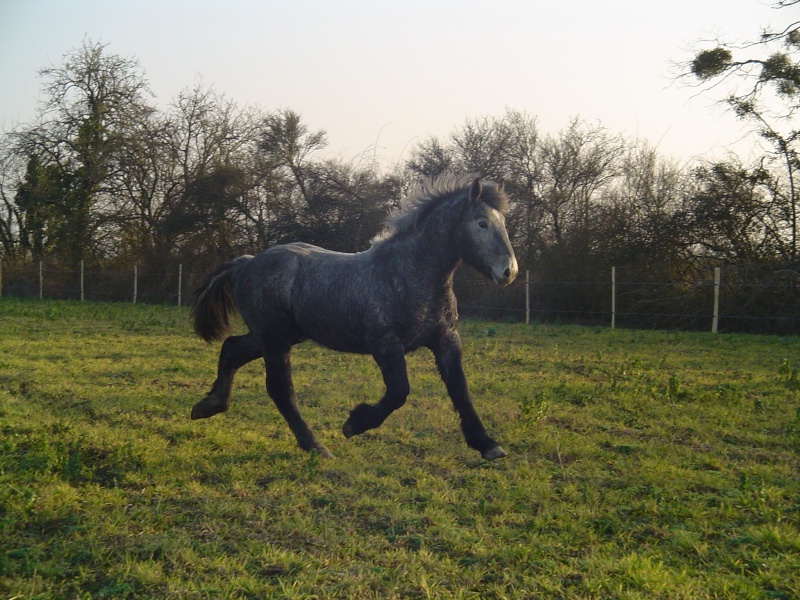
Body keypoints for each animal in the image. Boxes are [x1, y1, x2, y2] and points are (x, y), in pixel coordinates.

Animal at [188, 172, 520, 460]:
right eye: (481, 223)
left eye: (503, 222)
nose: (509, 272)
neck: (409, 273)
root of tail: (246, 262)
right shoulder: (385, 344)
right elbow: (399, 392)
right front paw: (354, 424)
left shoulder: (446, 339)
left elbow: (460, 390)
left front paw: (487, 444)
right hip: (274, 340)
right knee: (280, 389)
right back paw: (316, 446)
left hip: (276, 336)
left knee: (232, 348)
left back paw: (208, 406)